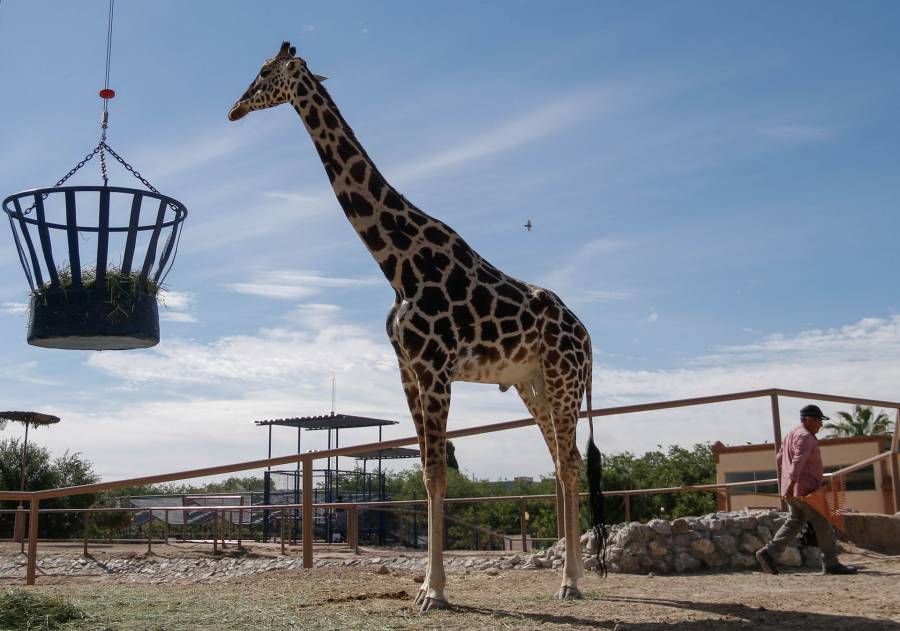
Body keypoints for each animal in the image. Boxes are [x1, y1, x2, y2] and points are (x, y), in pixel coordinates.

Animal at [229, 42, 605, 612]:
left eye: (266, 72)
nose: (234, 109)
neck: (398, 264)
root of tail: (588, 337)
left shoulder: (435, 367)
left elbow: (436, 474)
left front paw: (435, 591)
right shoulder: (407, 369)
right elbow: (427, 472)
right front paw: (428, 587)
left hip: (564, 380)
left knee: (569, 464)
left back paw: (571, 582)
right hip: (532, 383)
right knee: (563, 463)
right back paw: (567, 575)